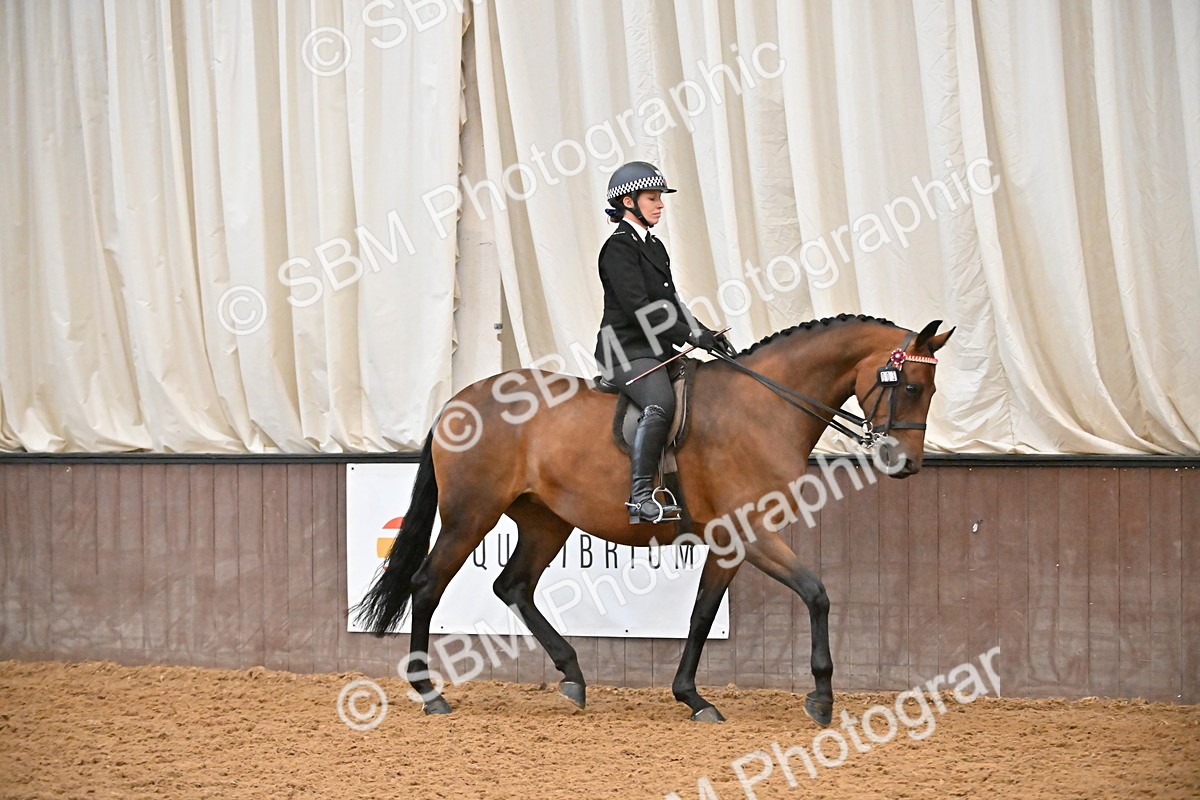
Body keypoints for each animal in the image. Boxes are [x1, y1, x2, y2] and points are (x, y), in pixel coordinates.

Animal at [354, 314, 954, 725]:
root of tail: (457, 401)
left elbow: (703, 614)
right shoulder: (753, 533)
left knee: (514, 585)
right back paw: (430, 693)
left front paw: (692, 696)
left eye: (930, 390)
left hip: (546, 521)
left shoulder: (731, 542)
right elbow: (817, 593)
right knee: (427, 584)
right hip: (469, 516)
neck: (762, 409)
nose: (907, 463)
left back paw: (572, 676)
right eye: (909, 386)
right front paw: (822, 698)